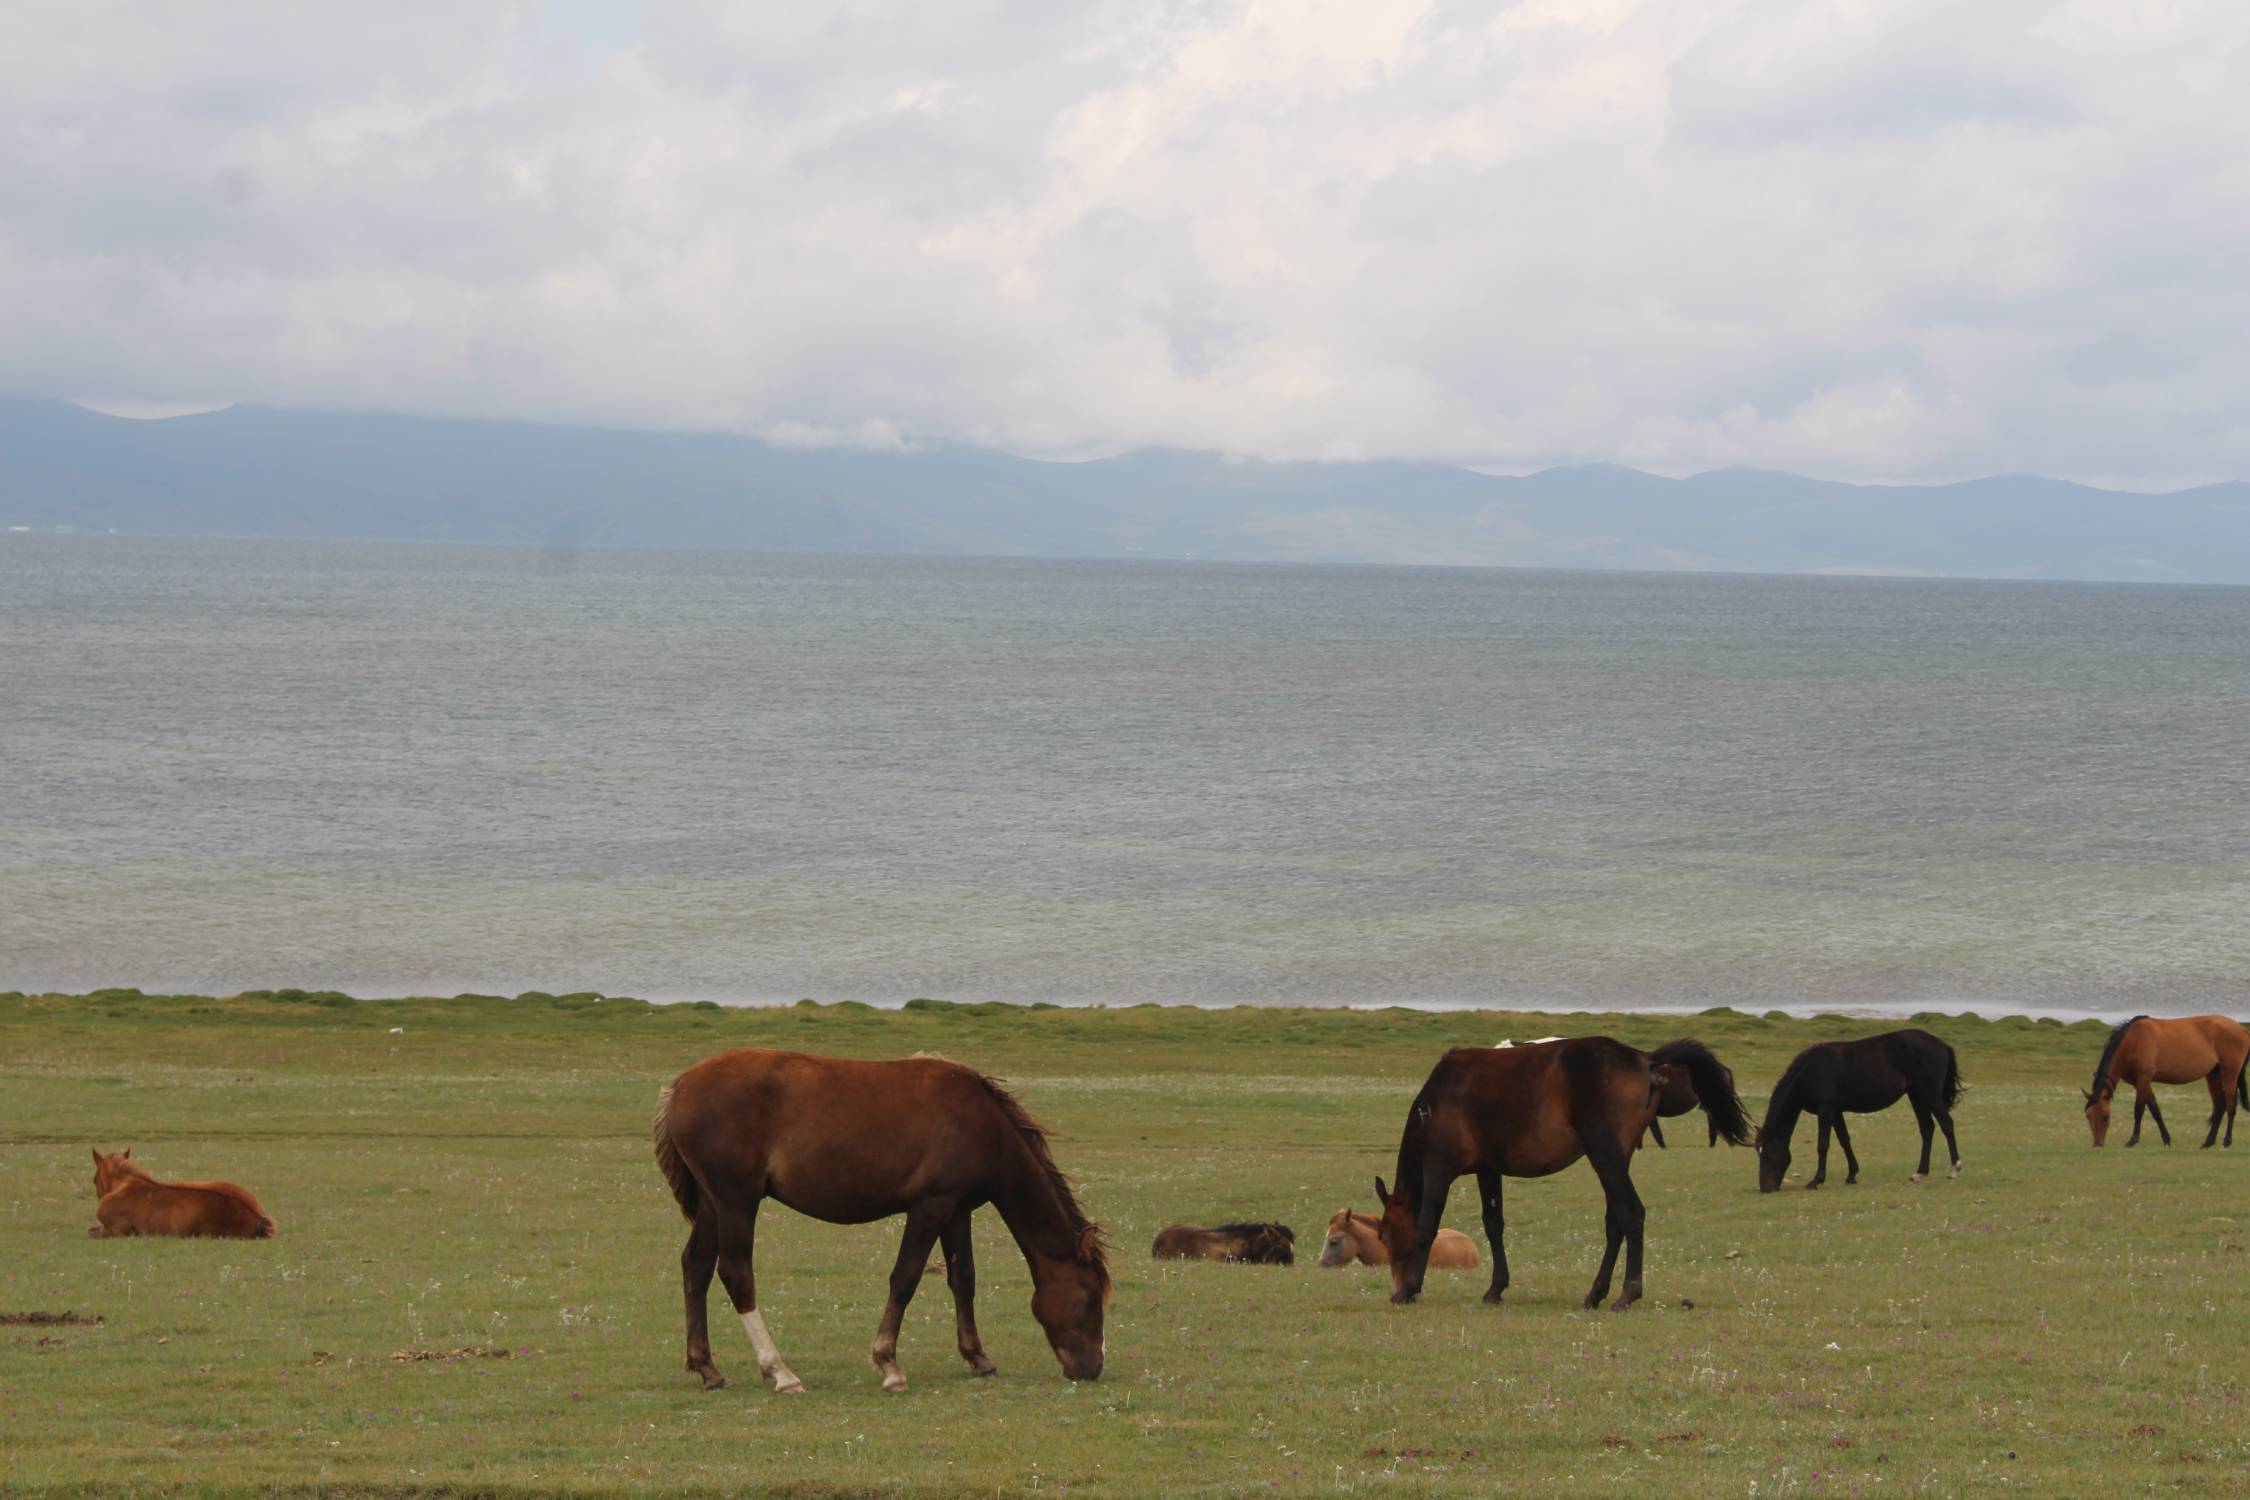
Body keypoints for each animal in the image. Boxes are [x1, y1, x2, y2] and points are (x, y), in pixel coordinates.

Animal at [653, 1048, 1108, 1395]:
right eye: (1090, 1298)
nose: (1092, 1368)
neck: (981, 1123)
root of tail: (679, 1087)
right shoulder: (930, 1207)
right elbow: (905, 1278)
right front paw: (888, 1363)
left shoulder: (957, 1210)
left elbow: (964, 1279)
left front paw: (978, 1356)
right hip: (736, 1201)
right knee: (736, 1273)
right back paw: (780, 1371)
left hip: (713, 1203)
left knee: (696, 1268)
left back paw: (708, 1369)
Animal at [1374, 1037, 1748, 1310]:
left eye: (1386, 1236)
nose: (1395, 1283)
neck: (1436, 1101)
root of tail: (1645, 1061)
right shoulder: (1488, 1169)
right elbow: (1493, 1224)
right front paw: (1496, 1287)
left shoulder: (1438, 1166)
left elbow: (1427, 1225)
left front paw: (1410, 1288)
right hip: (1616, 1159)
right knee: (1615, 1220)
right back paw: (1596, 1293)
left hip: (1605, 1155)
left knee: (1631, 1213)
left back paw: (1627, 1293)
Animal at [1755, 1029, 1963, 1192]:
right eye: (1759, 1152)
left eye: (1767, 1153)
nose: (1766, 1188)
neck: (1811, 1071)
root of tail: (1942, 1044)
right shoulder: (1836, 1111)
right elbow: (1844, 1140)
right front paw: (1851, 1175)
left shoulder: (1826, 1110)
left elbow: (1823, 1145)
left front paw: (1816, 1180)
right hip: (1916, 1095)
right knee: (1927, 1128)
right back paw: (1920, 1172)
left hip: (1929, 1093)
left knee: (1946, 1124)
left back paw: (1954, 1169)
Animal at [2083, 1014, 2249, 1148]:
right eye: (2088, 1116)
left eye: (2106, 1116)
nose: (2097, 1144)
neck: (2133, 1041)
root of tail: (2242, 1029)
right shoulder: (2141, 1083)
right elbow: (2155, 1110)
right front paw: (2166, 1139)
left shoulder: (2143, 1080)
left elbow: (2139, 1110)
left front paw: (2133, 1140)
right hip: (2213, 1075)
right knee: (2220, 1105)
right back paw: (2208, 1142)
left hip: (2229, 1074)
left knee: (2231, 1106)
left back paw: (2226, 1141)